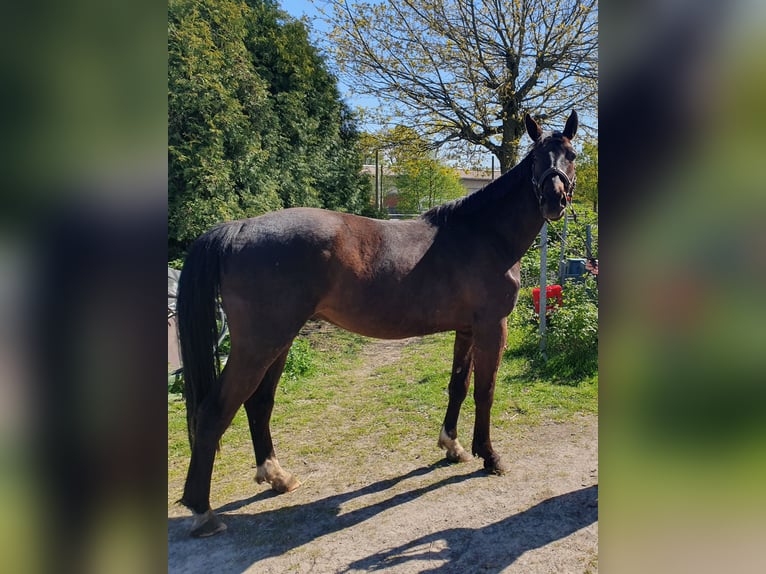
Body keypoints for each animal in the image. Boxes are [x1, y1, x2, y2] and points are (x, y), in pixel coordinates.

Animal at [176, 111, 579, 537]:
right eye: (536, 159)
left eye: (570, 155)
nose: (554, 200)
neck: (483, 233)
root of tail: (239, 227)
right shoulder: (491, 327)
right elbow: (485, 391)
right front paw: (489, 455)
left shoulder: (467, 329)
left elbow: (458, 386)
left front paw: (452, 446)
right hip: (258, 346)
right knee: (214, 412)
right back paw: (203, 511)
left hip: (278, 343)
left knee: (258, 403)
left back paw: (276, 477)